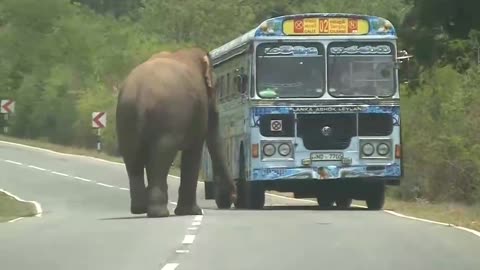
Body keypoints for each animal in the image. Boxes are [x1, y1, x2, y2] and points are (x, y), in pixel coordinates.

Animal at [115, 48, 238, 217]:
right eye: (215, 86)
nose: (233, 196)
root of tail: (140, 95)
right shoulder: (199, 107)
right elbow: (193, 152)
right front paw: (193, 212)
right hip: (167, 118)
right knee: (161, 158)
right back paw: (159, 213)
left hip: (126, 116)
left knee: (134, 159)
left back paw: (140, 209)